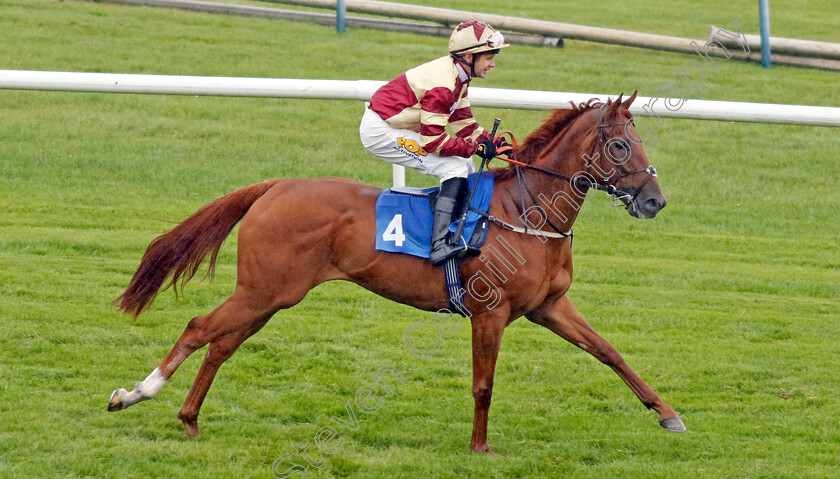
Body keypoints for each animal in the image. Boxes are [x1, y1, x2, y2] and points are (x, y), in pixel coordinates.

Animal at [106, 93, 684, 454]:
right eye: (619, 145)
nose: (655, 201)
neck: (528, 211)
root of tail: (277, 185)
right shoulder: (490, 312)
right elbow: (483, 384)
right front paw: (480, 447)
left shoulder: (549, 307)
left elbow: (610, 352)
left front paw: (667, 413)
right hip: (263, 289)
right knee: (200, 328)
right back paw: (134, 394)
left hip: (270, 295)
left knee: (222, 344)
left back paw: (189, 418)